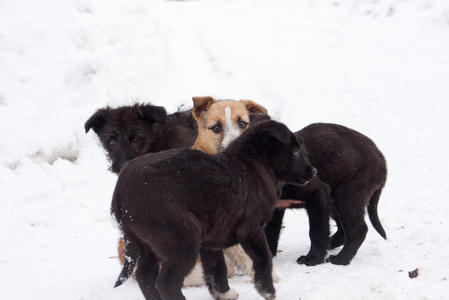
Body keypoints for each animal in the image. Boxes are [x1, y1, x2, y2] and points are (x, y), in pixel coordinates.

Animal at [111, 119, 316, 300]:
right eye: (296, 152)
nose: (314, 172)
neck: (254, 165)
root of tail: (121, 190)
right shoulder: (250, 227)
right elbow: (263, 258)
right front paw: (266, 289)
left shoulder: (211, 239)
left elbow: (217, 267)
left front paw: (223, 293)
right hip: (181, 240)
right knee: (166, 283)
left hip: (148, 242)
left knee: (145, 276)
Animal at [264, 120, 386, 266]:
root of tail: (382, 160)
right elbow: (270, 233)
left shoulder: (318, 193)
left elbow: (317, 231)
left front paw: (313, 258)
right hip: (334, 202)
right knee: (342, 230)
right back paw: (331, 244)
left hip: (347, 196)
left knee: (358, 230)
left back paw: (341, 258)